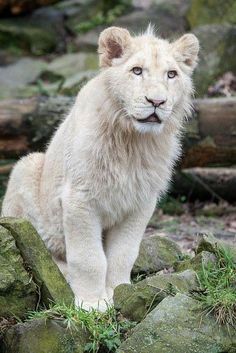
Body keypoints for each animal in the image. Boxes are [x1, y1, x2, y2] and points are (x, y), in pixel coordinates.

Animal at [1, 26, 199, 310]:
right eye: (137, 70)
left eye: (171, 74)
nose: (157, 102)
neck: (133, 142)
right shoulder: (79, 198)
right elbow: (89, 258)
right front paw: (92, 303)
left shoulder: (140, 202)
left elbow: (123, 253)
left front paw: (119, 291)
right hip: (26, 166)